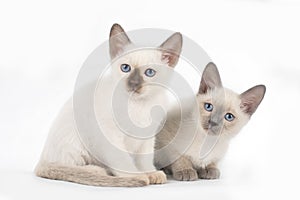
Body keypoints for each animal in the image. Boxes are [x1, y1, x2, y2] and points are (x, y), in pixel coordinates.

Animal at [34, 24, 182, 187]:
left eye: (149, 72)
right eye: (125, 68)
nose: (134, 84)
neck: (139, 107)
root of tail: (41, 159)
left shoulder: (147, 137)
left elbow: (144, 160)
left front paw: (151, 173)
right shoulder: (112, 137)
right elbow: (123, 162)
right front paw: (137, 176)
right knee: (68, 167)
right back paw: (98, 170)